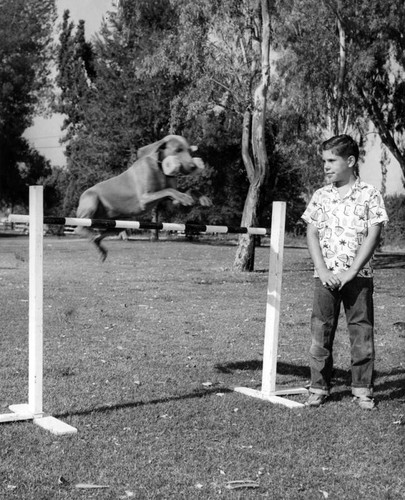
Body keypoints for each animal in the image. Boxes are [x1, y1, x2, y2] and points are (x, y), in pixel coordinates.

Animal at [74, 135, 211, 260]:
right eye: (178, 150)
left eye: (190, 151)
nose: (193, 166)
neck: (160, 169)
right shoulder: (144, 199)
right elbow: (168, 190)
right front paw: (186, 198)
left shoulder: (171, 203)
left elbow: (187, 190)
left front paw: (203, 199)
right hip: (92, 201)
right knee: (79, 227)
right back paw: (90, 236)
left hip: (117, 224)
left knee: (100, 235)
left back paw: (100, 247)